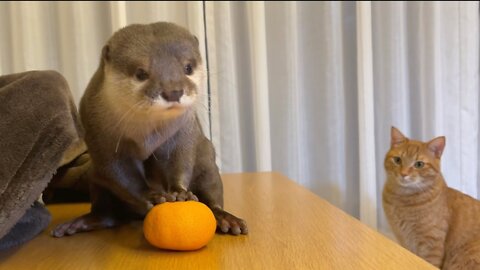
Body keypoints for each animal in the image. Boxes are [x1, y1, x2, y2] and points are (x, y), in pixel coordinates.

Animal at [51, 22, 248, 236]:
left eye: (187, 67)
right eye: (141, 73)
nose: (173, 91)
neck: (147, 134)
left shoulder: (183, 131)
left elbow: (181, 159)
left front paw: (180, 192)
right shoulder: (98, 131)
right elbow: (119, 171)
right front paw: (153, 196)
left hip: (207, 160)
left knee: (212, 191)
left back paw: (226, 218)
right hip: (94, 177)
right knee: (107, 212)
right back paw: (82, 222)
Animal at [384, 127, 480, 270]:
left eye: (419, 164)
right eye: (397, 160)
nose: (403, 174)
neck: (402, 199)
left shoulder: (431, 244)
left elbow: (427, 263)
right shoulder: (404, 242)